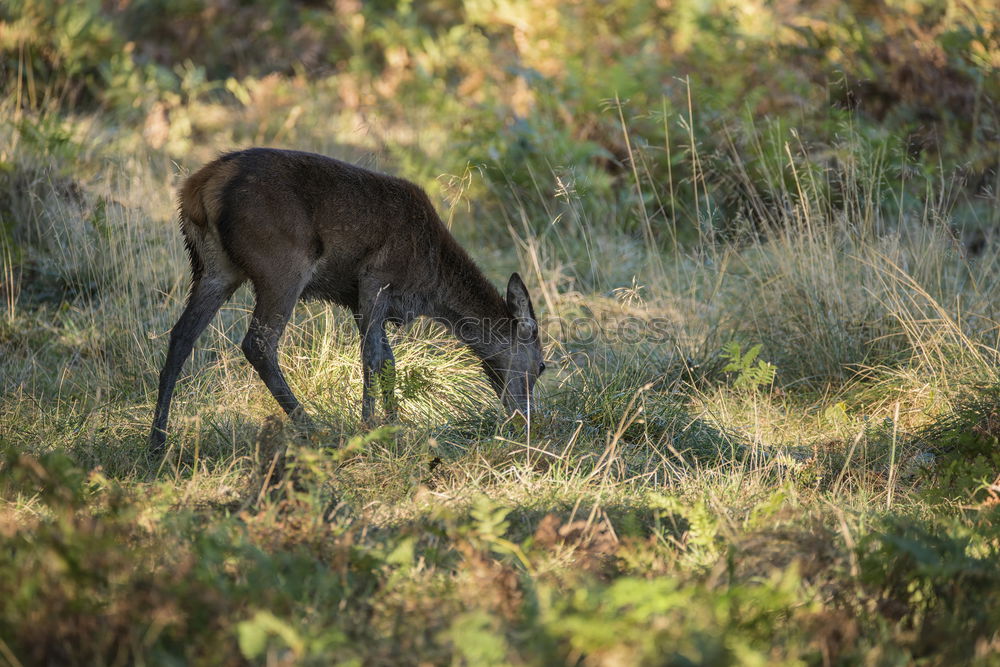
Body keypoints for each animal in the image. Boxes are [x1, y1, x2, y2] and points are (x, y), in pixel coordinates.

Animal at [150, 150, 548, 454]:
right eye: (542, 366)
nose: (527, 421)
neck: (432, 284)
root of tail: (200, 188)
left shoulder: (360, 300)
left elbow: (388, 361)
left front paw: (394, 425)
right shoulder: (375, 278)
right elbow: (371, 357)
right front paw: (369, 428)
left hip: (214, 267)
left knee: (181, 335)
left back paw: (157, 441)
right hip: (282, 263)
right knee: (258, 343)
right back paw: (313, 428)